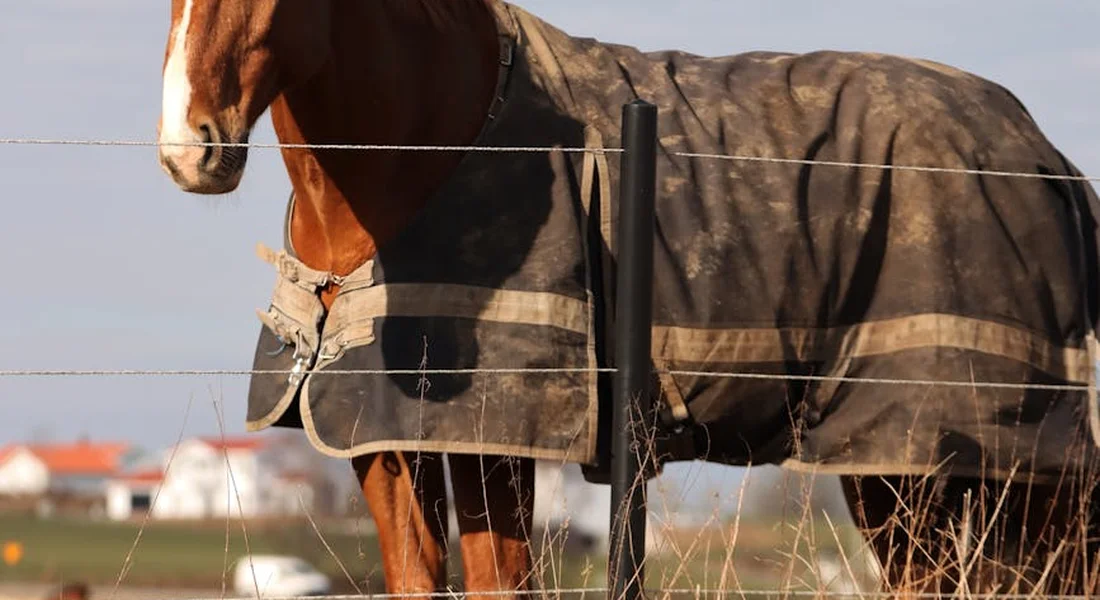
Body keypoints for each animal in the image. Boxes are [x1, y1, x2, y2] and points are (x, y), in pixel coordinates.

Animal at [155, 0, 1100, 596]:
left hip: (960, 460)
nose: (190, 148)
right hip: (907, 467)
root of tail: (1044, 156)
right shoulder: (380, 440)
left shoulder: (495, 442)